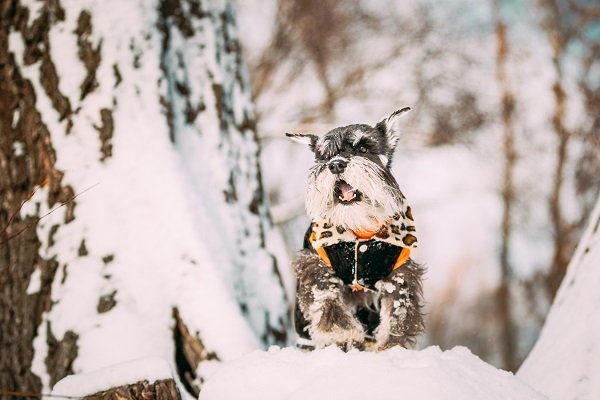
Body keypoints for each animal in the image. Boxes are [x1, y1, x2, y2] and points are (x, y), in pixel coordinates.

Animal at [288, 107, 424, 350]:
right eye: (325, 156)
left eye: (363, 148)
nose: (335, 164)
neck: (360, 229)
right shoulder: (316, 265)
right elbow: (327, 302)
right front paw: (343, 335)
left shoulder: (399, 272)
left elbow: (398, 312)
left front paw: (389, 344)